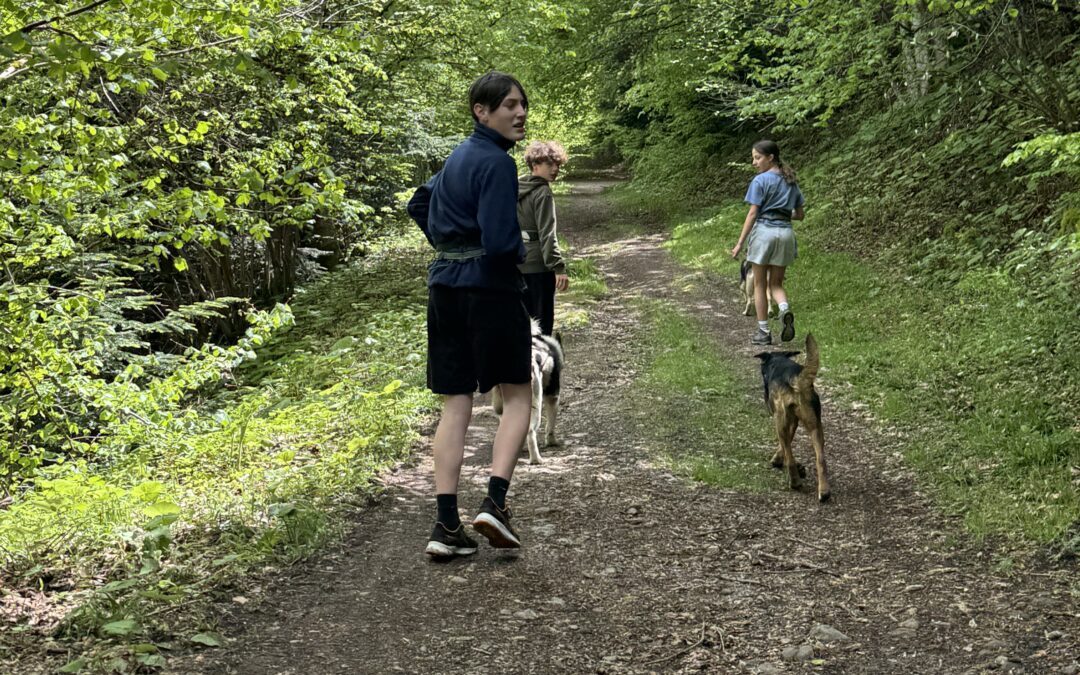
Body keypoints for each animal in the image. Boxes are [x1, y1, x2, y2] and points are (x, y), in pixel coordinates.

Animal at [756, 332, 829, 501]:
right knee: (821, 459)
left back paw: (794, 481)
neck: (778, 362)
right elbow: (788, 440)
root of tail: (796, 380)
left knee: (789, 455)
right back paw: (824, 491)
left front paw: (778, 461)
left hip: (780, 420)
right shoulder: (794, 421)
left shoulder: (782, 419)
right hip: (815, 425)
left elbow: (786, 446)